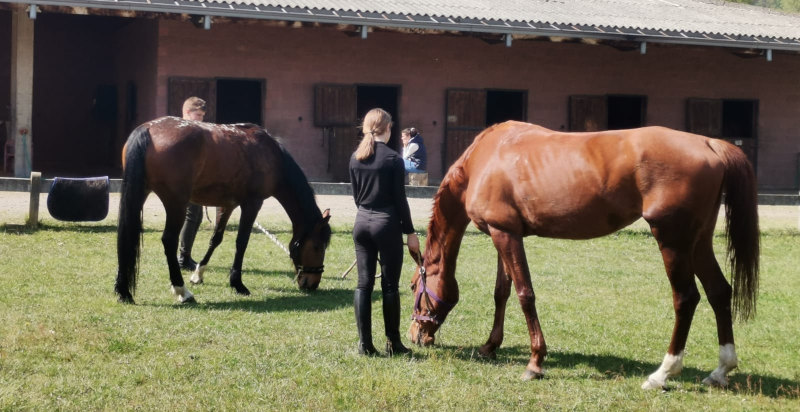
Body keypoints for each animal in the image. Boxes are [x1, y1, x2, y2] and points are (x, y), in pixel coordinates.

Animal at [115, 116, 332, 304]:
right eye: (317, 247)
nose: (312, 283)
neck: (271, 155)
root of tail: (148, 129)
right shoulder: (252, 204)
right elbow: (242, 242)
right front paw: (237, 283)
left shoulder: (227, 205)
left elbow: (216, 239)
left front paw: (198, 274)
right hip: (176, 203)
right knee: (169, 240)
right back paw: (182, 291)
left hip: (141, 193)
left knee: (127, 233)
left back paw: (123, 290)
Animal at [408, 121, 759, 389]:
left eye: (413, 287)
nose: (414, 335)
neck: (485, 158)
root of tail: (709, 143)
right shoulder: (502, 233)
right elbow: (501, 293)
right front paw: (490, 346)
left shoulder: (505, 234)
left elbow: (525, 294)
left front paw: (535, 362)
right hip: (698, 241)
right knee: (719, 291)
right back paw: (720, 370)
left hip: (673, 240)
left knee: (686, 299)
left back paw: (662, 374)